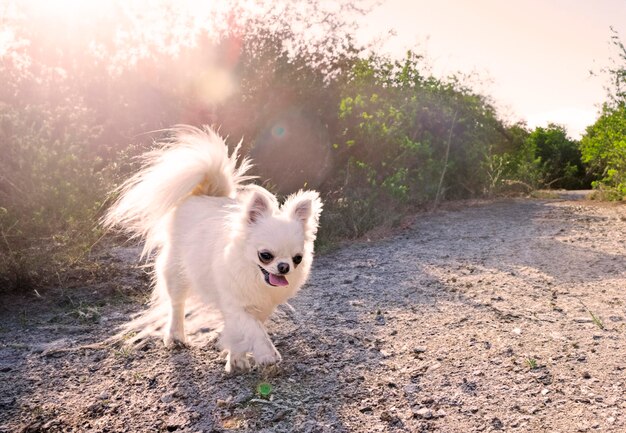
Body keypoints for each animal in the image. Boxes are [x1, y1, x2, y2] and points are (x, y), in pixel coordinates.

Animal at [103, 125, 322, 372]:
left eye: (297, 259)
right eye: (265, 256)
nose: (284, 267)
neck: (255, 277)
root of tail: (204, 193)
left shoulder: (259, 306)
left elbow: (242, 330)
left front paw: (236, 358)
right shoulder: (236, 304)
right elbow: (254, 329)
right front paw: (266, 354)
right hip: (177, 272)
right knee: (177, 304)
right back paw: (175, 336)